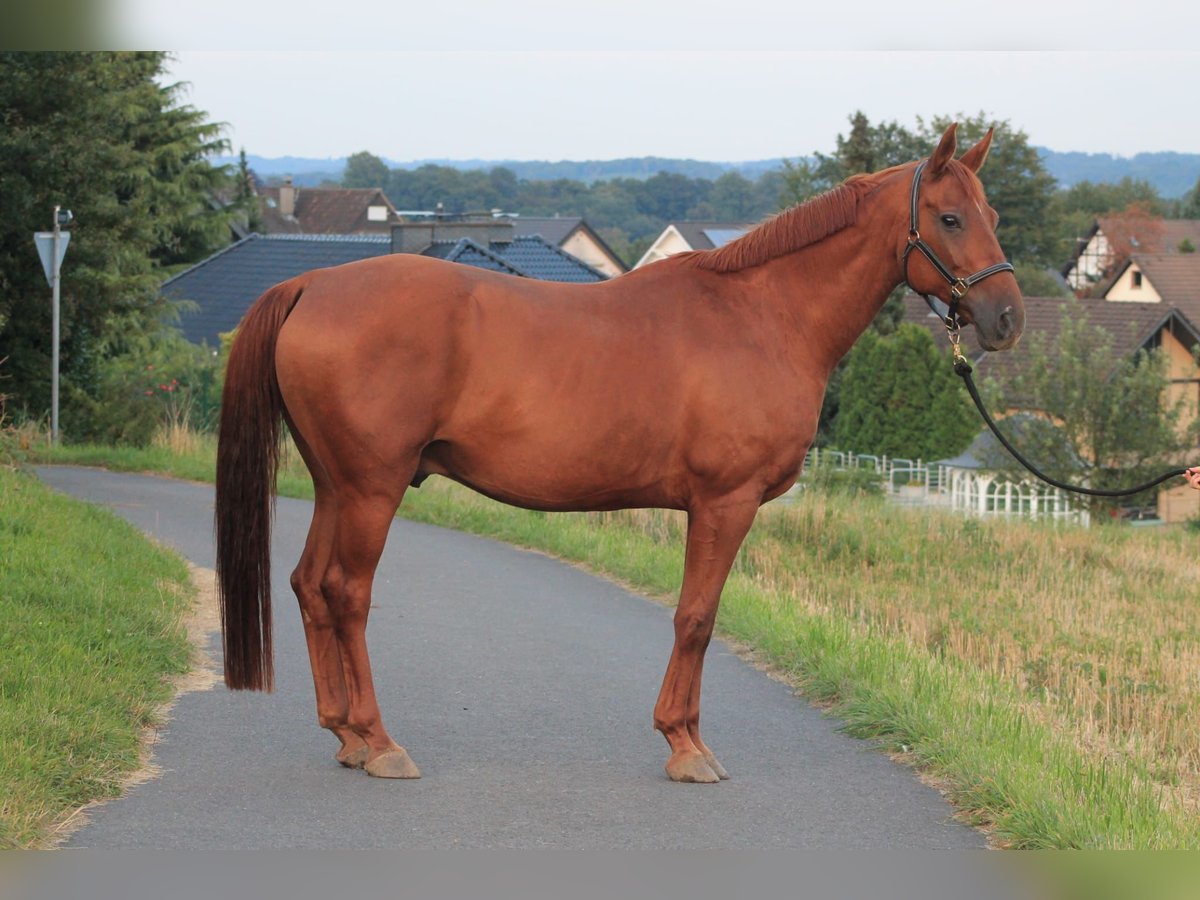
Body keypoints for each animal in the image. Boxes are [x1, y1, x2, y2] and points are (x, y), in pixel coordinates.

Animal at [213, 123, 1022, 787]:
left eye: (993, 216)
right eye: (949, 218)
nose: (1006, 318)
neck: (762, 316)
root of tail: (311, 284)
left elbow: (699, 616)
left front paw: (684, 737)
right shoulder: (724, 503)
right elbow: (696, 617)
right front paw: (686, 747)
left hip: (336, 485)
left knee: (310, 585)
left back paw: (346, 735)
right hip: (372, 490)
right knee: (347, 593)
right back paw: (380, 743)